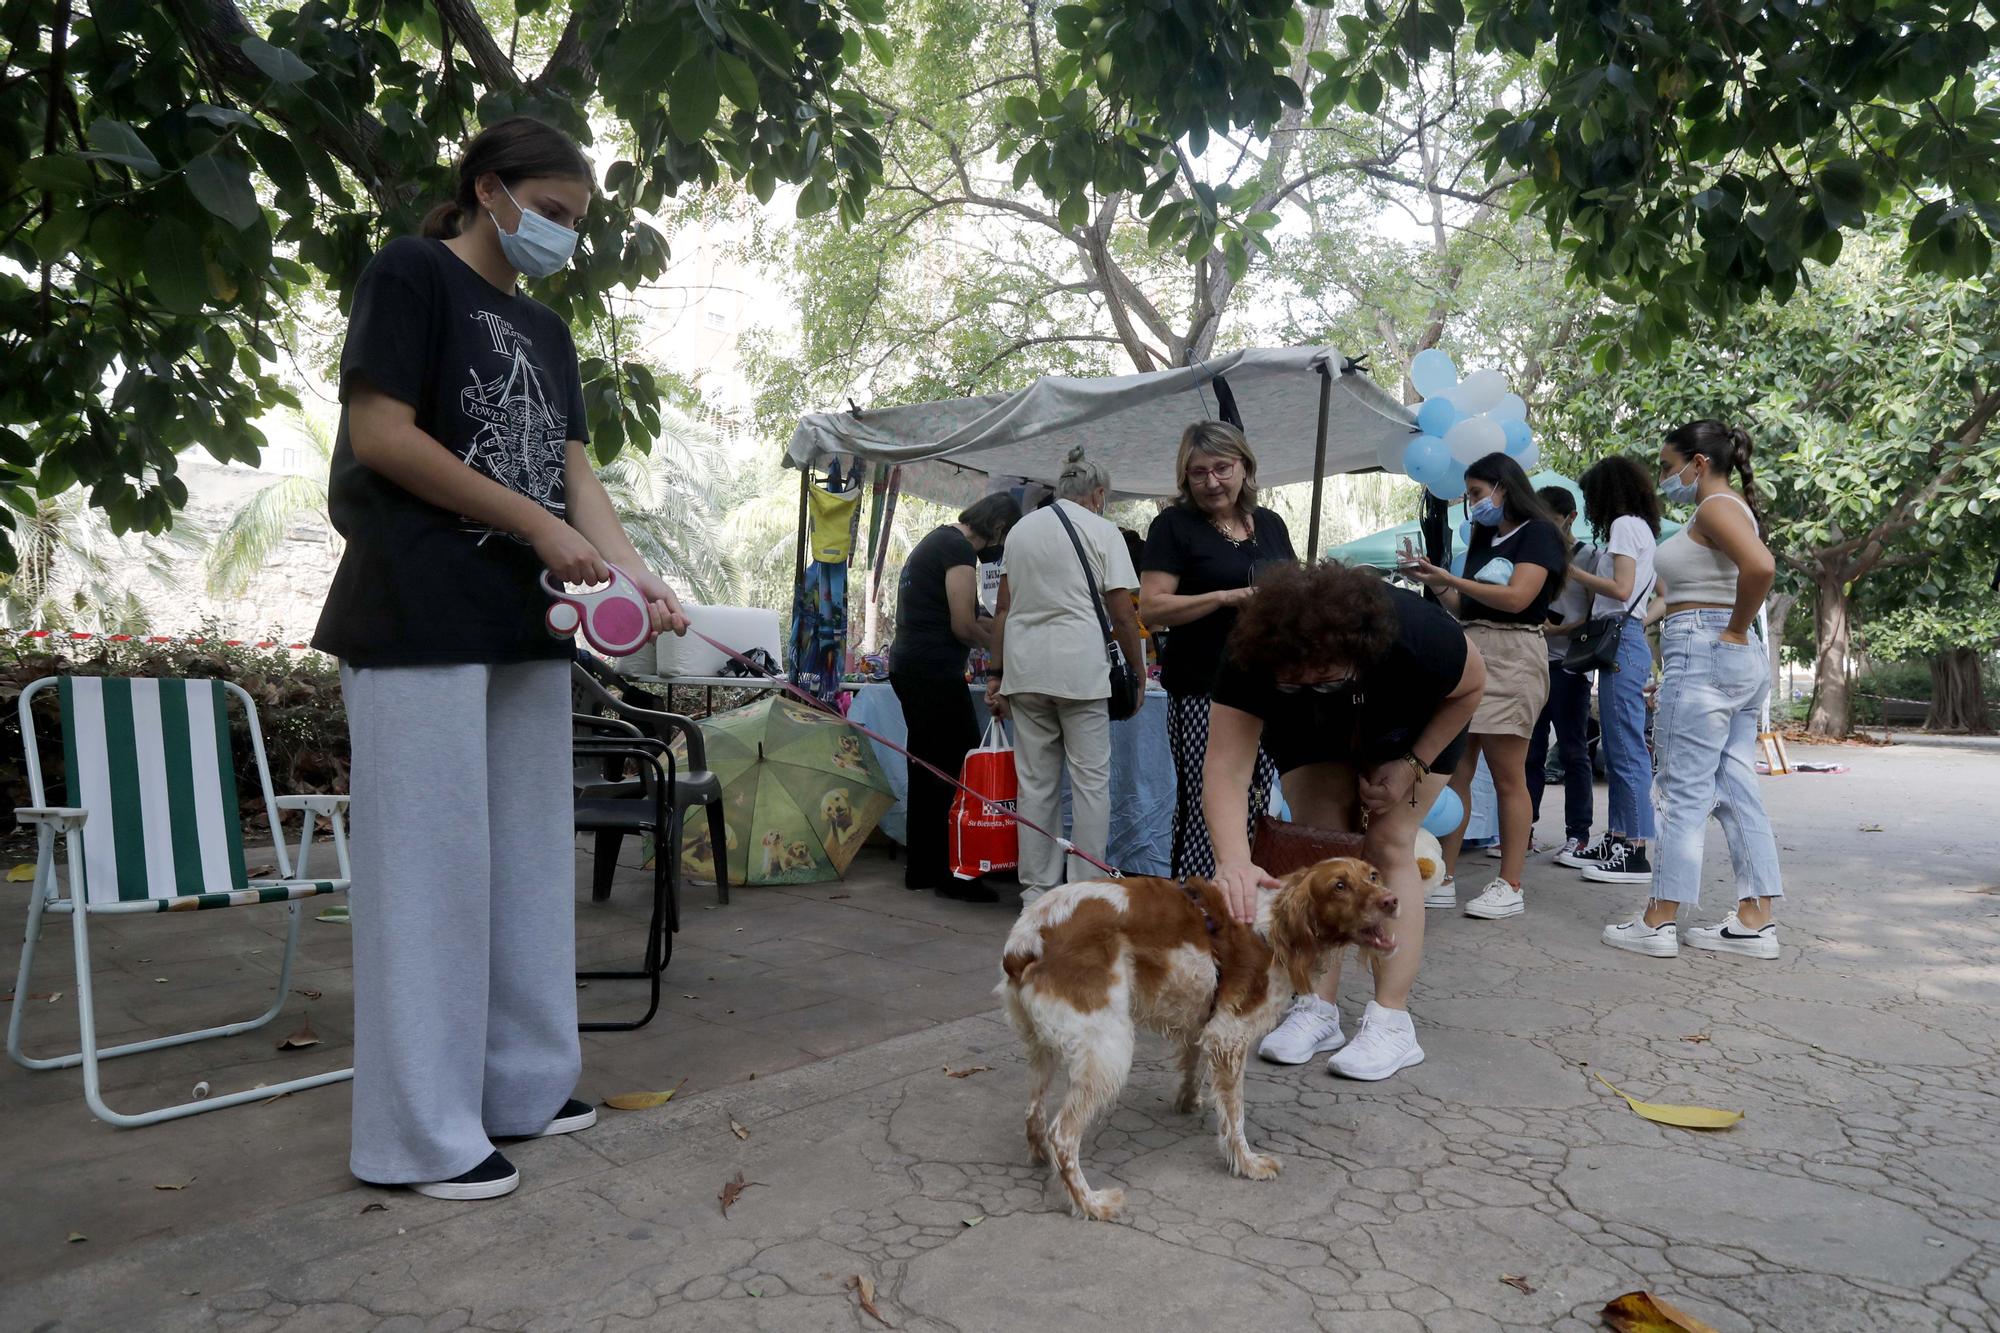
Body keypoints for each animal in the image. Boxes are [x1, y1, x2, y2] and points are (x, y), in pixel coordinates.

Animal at [996, 856, 1400, 1216]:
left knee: (1035, 1114)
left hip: (1044, 1047)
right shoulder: (1230, 1034)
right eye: (1339, 886)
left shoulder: (1205, 1023)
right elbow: (1235, 1116)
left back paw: (1042, 1159)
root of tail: (1026, 939)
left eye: (1374, 875)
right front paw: (1247, 1163)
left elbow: (1195, 1069)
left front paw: (1190, 1103)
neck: (1277, 927)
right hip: (1106, 1048)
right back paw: (1090, 1203)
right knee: (1062, 1135)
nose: (1392, 900)